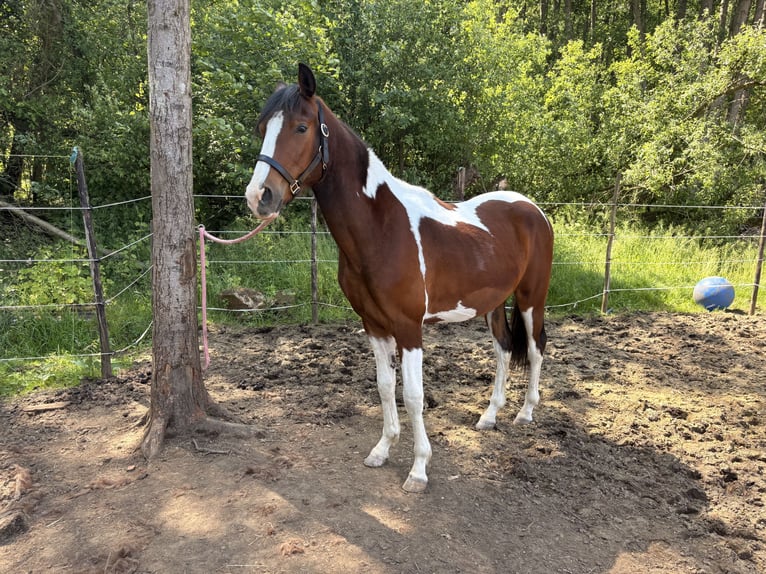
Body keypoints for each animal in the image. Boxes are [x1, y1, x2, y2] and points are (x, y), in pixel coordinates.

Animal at [245, 64, 554, 493]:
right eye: (262, 128)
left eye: (301, 127)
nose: (259, 197)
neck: (381, 229)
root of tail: (533, 209)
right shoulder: (374, 325)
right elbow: (385, 387)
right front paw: (382, 449)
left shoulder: (409, 328)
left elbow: (413, 395)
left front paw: (419, 469)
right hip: (494, 304)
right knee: (505, 349)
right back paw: (490, 416)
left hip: (530, 299)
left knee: (537, 348)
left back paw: (525, 413)